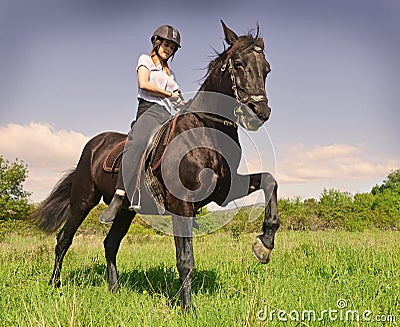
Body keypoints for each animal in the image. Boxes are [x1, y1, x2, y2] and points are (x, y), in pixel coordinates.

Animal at [32, 21, 280, 312]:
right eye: (239, 64)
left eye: (267, 69)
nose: (259, 113)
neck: (205, 130)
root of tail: (93, 145)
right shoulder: (181, 204)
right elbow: (185, 260)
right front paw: (187, 308)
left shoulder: (225, 190)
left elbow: (270, 180)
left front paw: (264, 244)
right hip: (82, 200)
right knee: (64, 239)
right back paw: (54, 284)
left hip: (125, 212)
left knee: (110, 244)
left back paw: (114, 289)